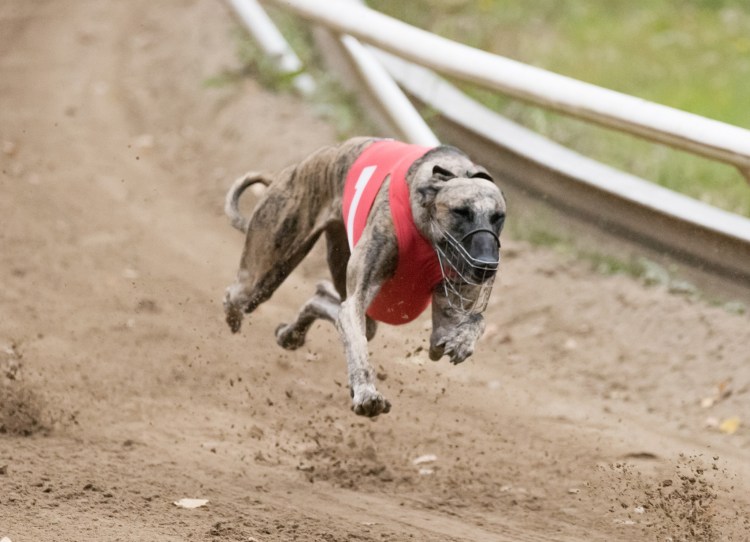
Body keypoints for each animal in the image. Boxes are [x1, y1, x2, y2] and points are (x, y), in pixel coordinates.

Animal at [224, 137, 506, 417]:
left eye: (498, 217)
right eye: (461, 212)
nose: (486, 266)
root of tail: (303, 165)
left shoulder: (442, 329)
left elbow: (471, 323)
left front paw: (463, 341)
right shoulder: (359, 295)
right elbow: (357, 344)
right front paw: (367, 394)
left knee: (326, 302)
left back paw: (292, 333)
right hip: (267, 269)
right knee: (240, 295)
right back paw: (234, 316)